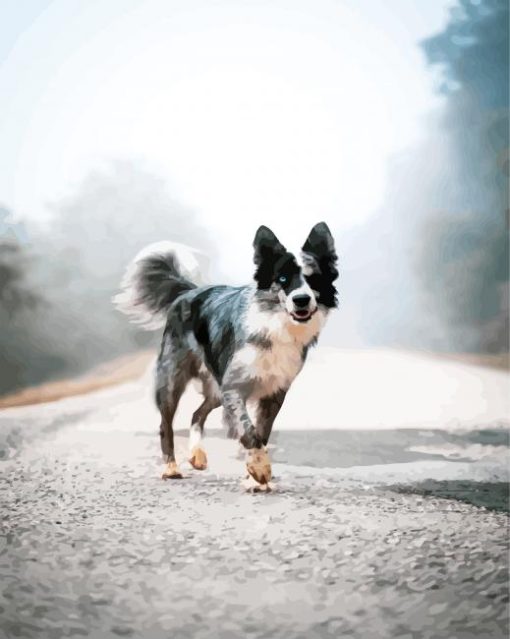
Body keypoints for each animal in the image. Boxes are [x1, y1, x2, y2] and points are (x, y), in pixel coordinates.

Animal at [115, 224, 338, 484]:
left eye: (314, 278)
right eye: (282, 279)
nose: (301, 300)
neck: (274, 325)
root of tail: (188, 292)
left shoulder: (275, 391)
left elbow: (261, 432)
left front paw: (254, 472)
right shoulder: (234, 387)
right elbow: (248, 430)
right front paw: (259, 470)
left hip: (215, 390)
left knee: (196, 414)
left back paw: (197, 455)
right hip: (173, 378)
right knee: (165, 425)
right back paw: (171, 467)